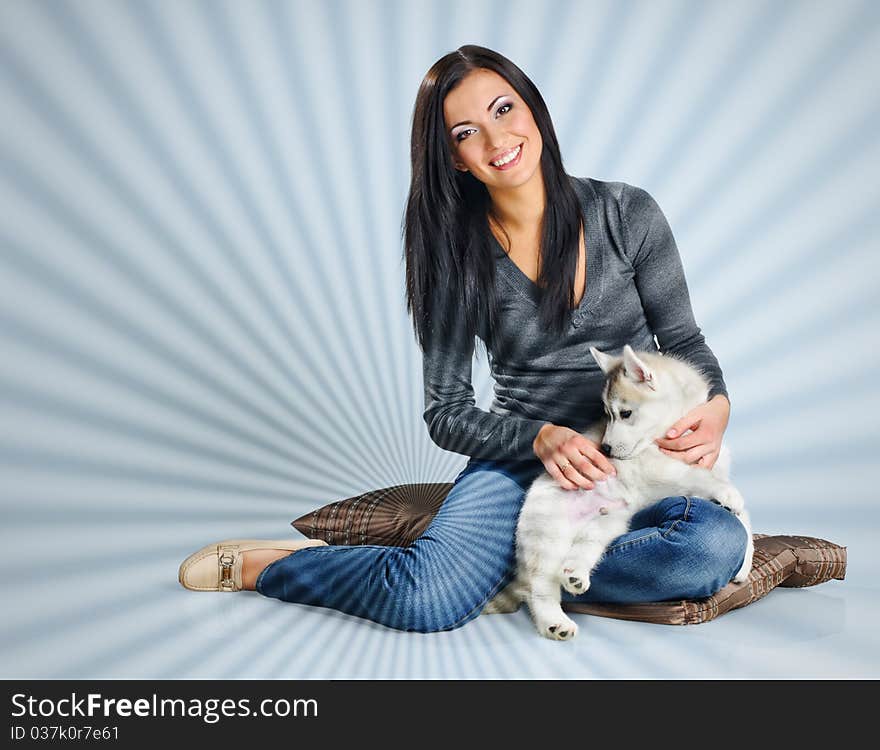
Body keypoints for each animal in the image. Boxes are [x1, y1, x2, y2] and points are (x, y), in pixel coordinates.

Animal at [484, 346, 752, 640]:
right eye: (608, 414)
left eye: (625, 413)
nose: (606, 450)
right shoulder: (661, 470)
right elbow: (698, 477)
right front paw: (729, 493)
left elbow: (744, 518)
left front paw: (746, 560)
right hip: (549, 531)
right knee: (538, 585)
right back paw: (554, 622)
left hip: (609, 523)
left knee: (586, 546)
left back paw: (575, 574)